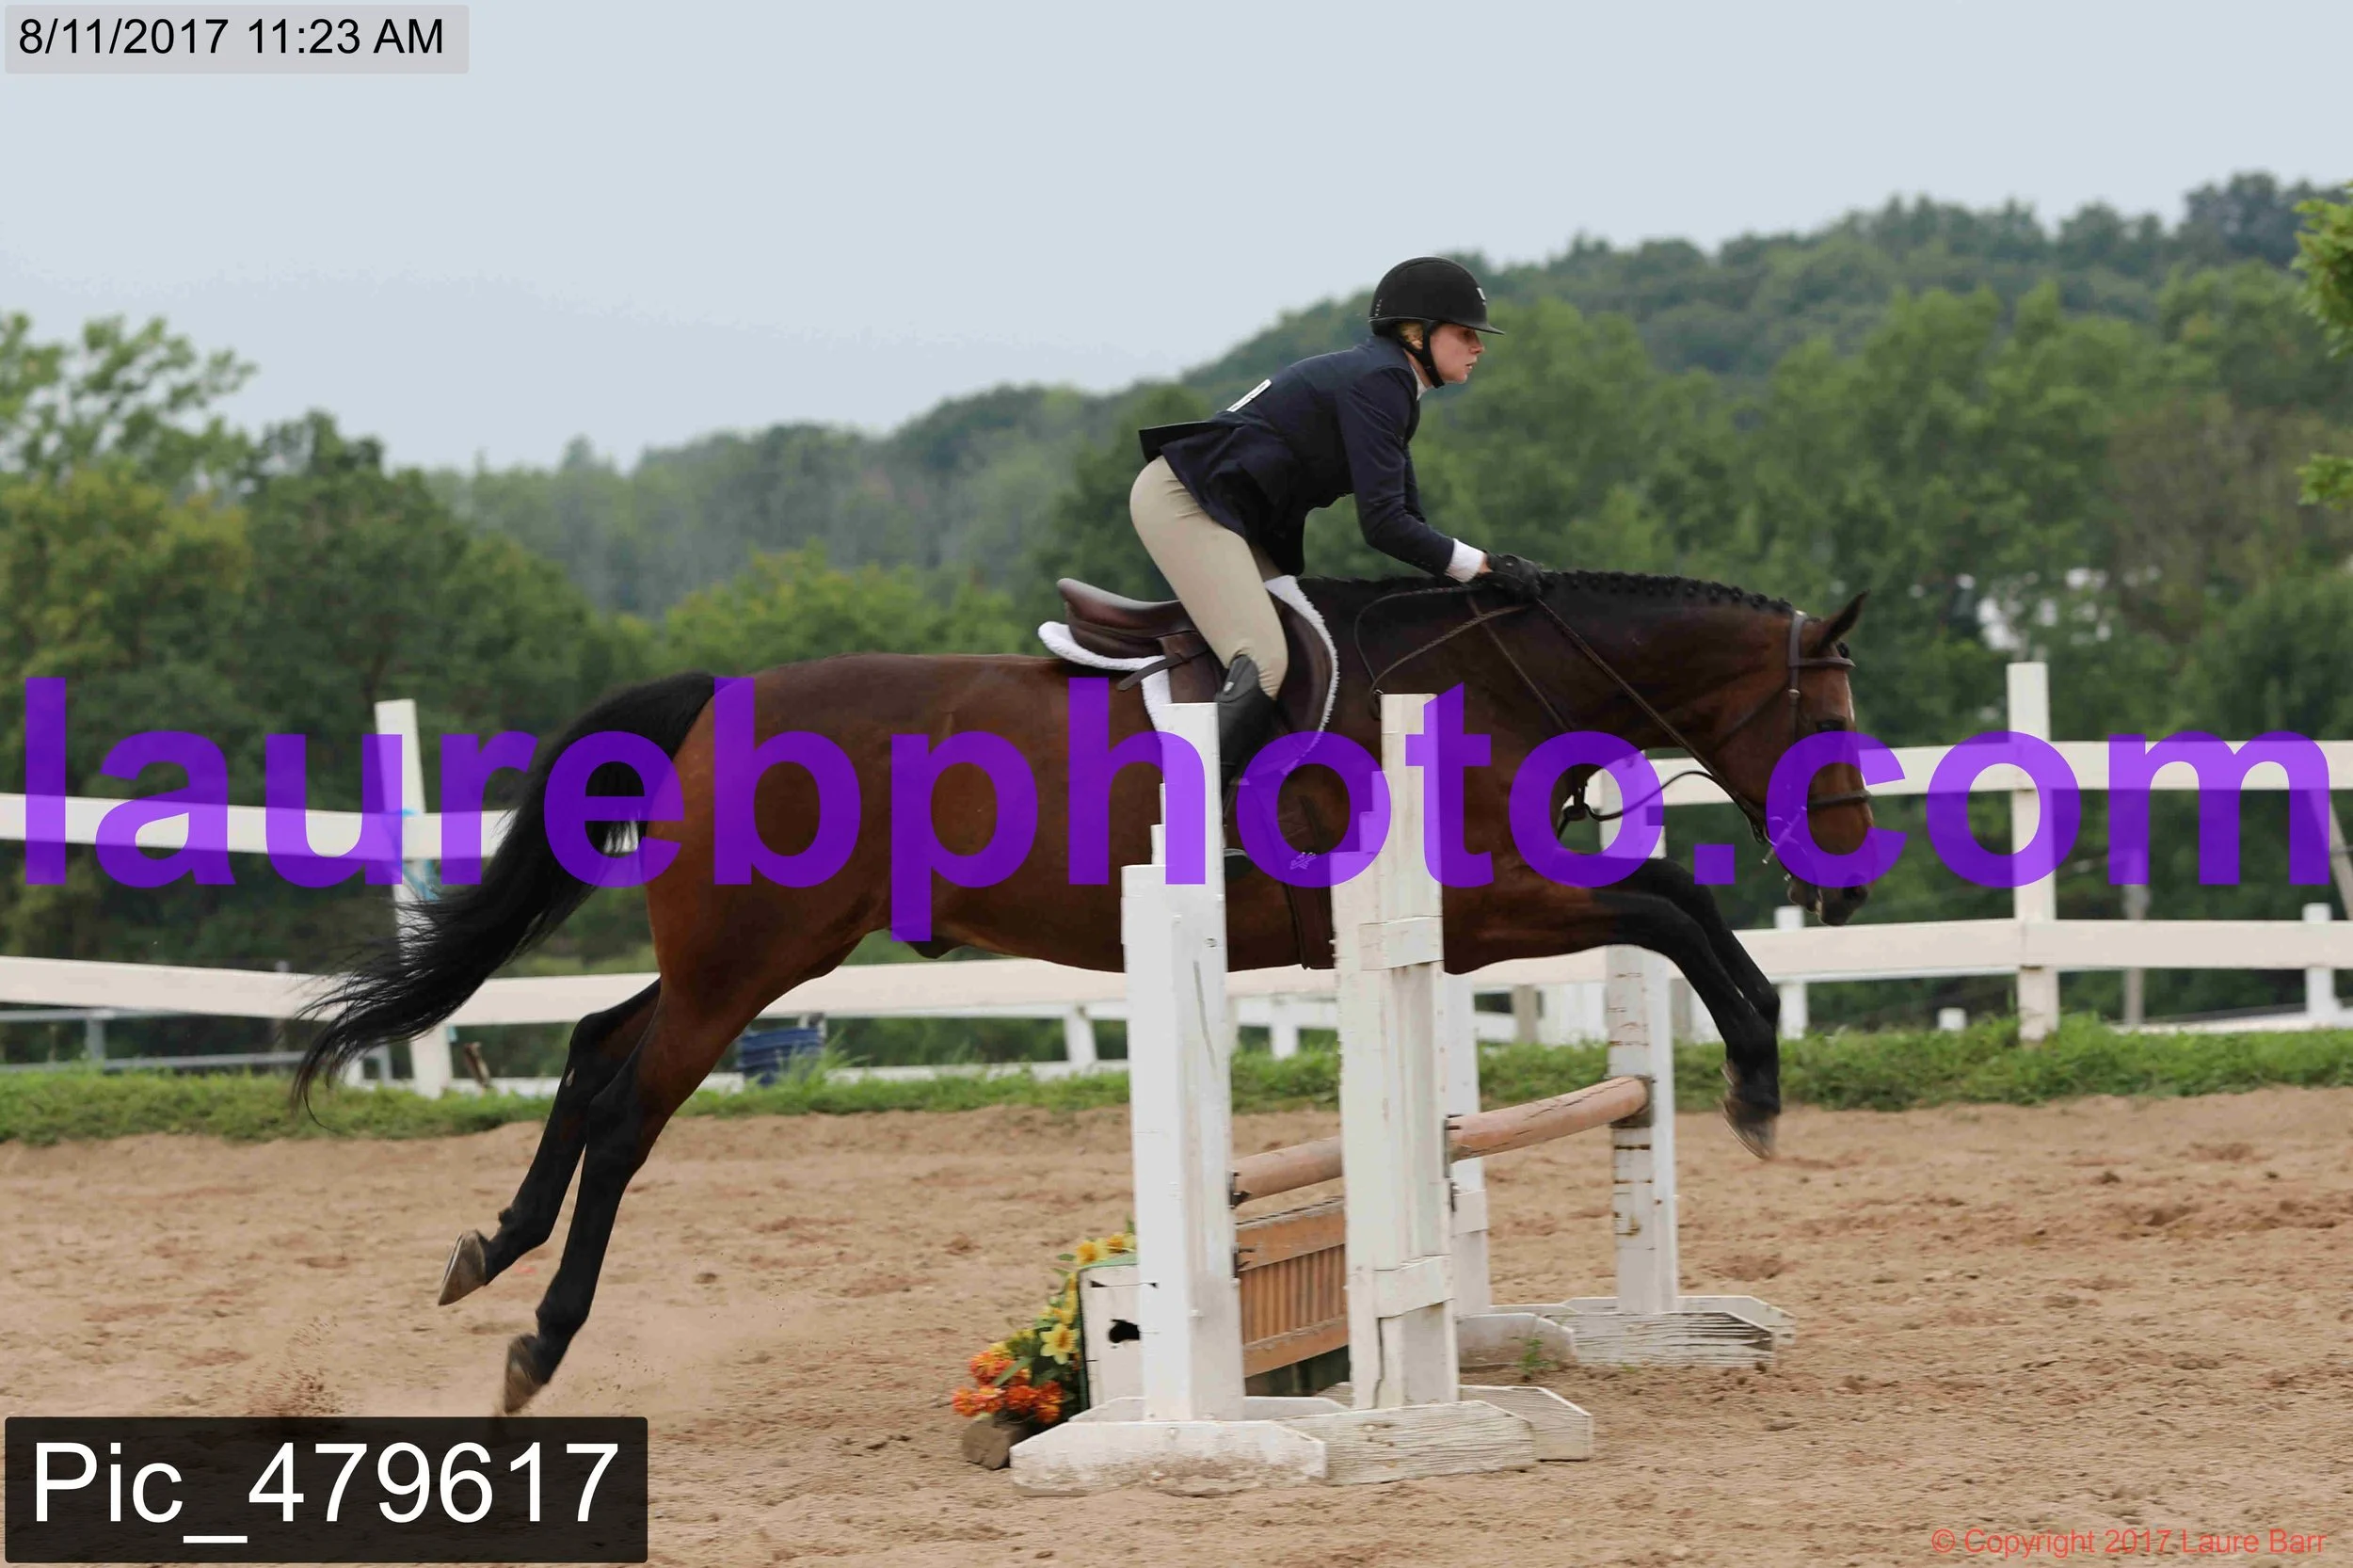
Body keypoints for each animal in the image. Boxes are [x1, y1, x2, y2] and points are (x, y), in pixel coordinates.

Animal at [294, 567, 1873, 1413]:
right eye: (1826, 716)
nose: (1848, 875)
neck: (1496, 684)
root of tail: (717, 699)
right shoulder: (1490, 911)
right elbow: (1674, 908)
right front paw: (1756, 1078)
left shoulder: (1501, 909)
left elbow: (1676, 905)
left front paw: (1756, 1072)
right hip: (749, 963)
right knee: (630, 1104)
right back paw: (537, 1340)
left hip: (750, 958)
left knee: (586, 1043)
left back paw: (488, 1251)